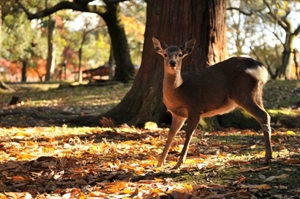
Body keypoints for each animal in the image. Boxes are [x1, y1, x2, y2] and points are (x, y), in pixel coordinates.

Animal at [152, 36, 272, 169]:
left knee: (263, 115)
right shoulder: (177, 114)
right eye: (165, 54)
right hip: (257, 93)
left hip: (244, 92)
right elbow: (171, 134)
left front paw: (178, 163)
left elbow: (189, 133)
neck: (179, 90)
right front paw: (159, 163)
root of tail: (261, 68)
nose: (172, 63)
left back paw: (267, 157)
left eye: (180, 54)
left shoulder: (195, 107)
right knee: (265, 114)